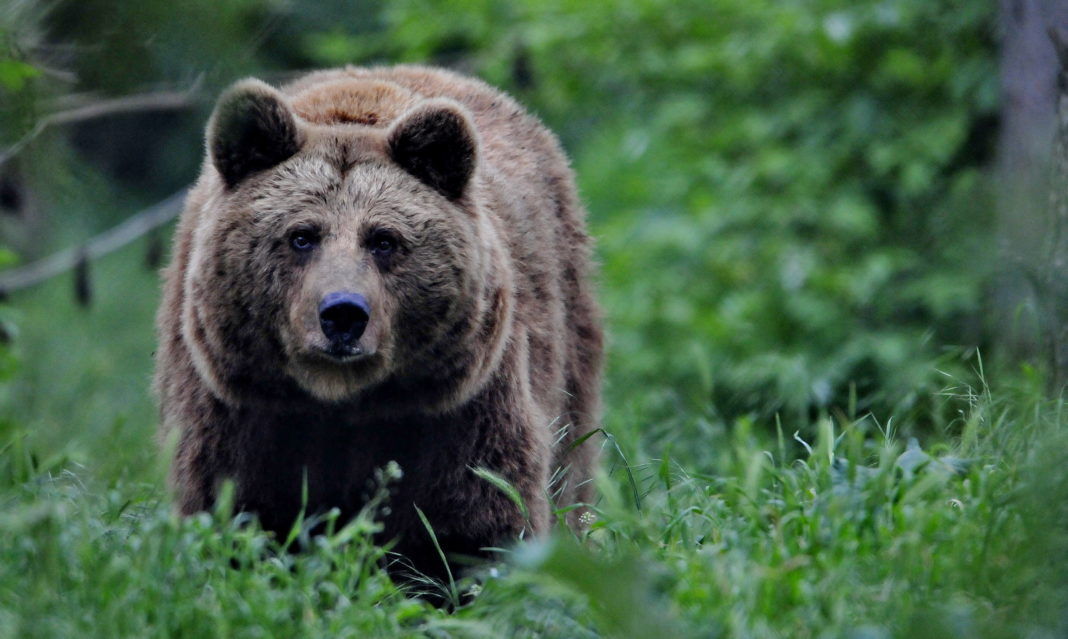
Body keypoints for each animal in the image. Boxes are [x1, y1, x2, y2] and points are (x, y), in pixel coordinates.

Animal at [152, 63, 602, 581]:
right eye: (302, 236)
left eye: (384, 240)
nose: (343, 314)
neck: (345, 400)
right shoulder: (242, 406)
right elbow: (233, 507)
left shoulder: (458, 408)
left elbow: (476, 519)